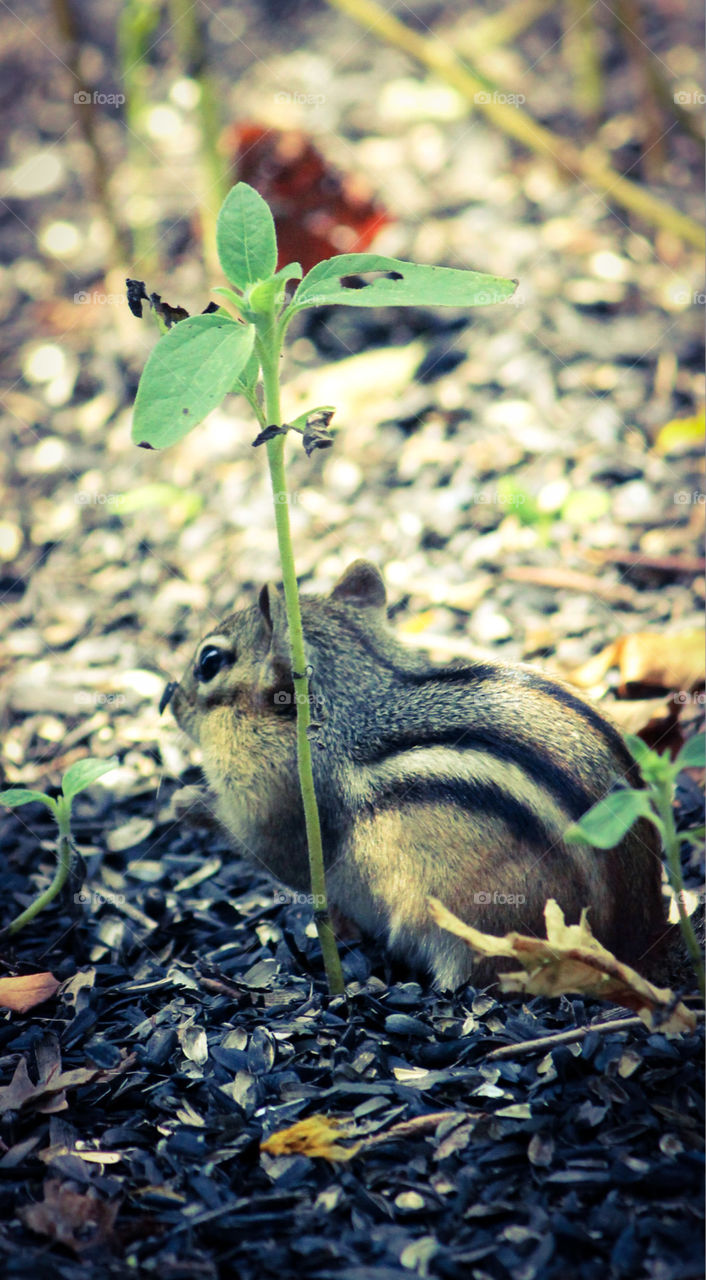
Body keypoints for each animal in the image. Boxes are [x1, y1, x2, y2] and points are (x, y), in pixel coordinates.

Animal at [162, 560, 668, 989]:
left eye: (209, 662)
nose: (170, 701)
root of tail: (636, 945)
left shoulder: (281, 805)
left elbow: (272, 853)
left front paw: (187, 803)